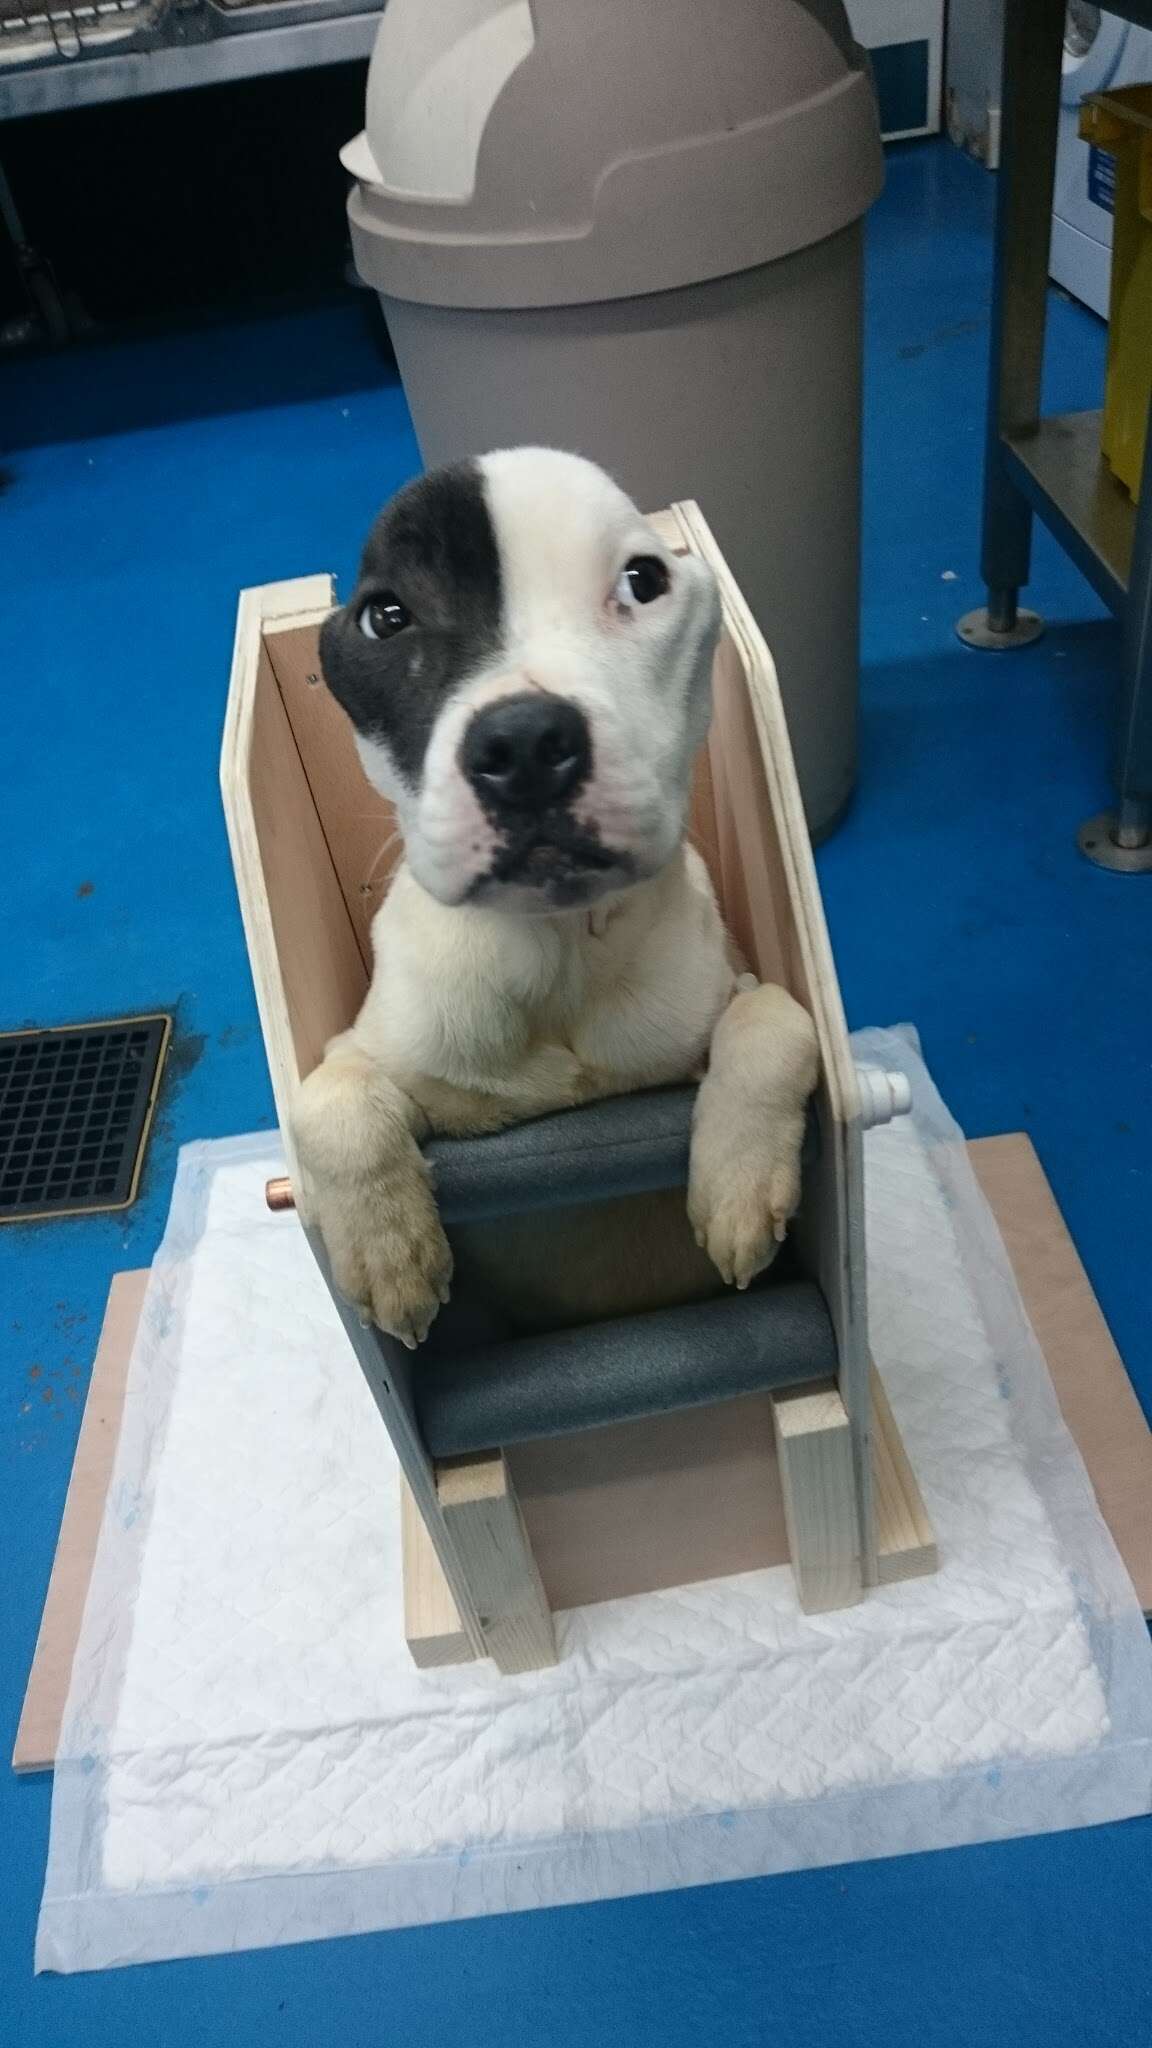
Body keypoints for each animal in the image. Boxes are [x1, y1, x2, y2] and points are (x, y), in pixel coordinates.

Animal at [295, 448, 815, 1343]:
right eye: (385, 617)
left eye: (644, 580)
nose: (526, 742)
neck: (558, 948)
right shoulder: (375, 1053)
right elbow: (328, 1098)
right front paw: (388, 1250)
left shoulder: (727, 995)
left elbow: (777, 1017)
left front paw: (741, 1184)